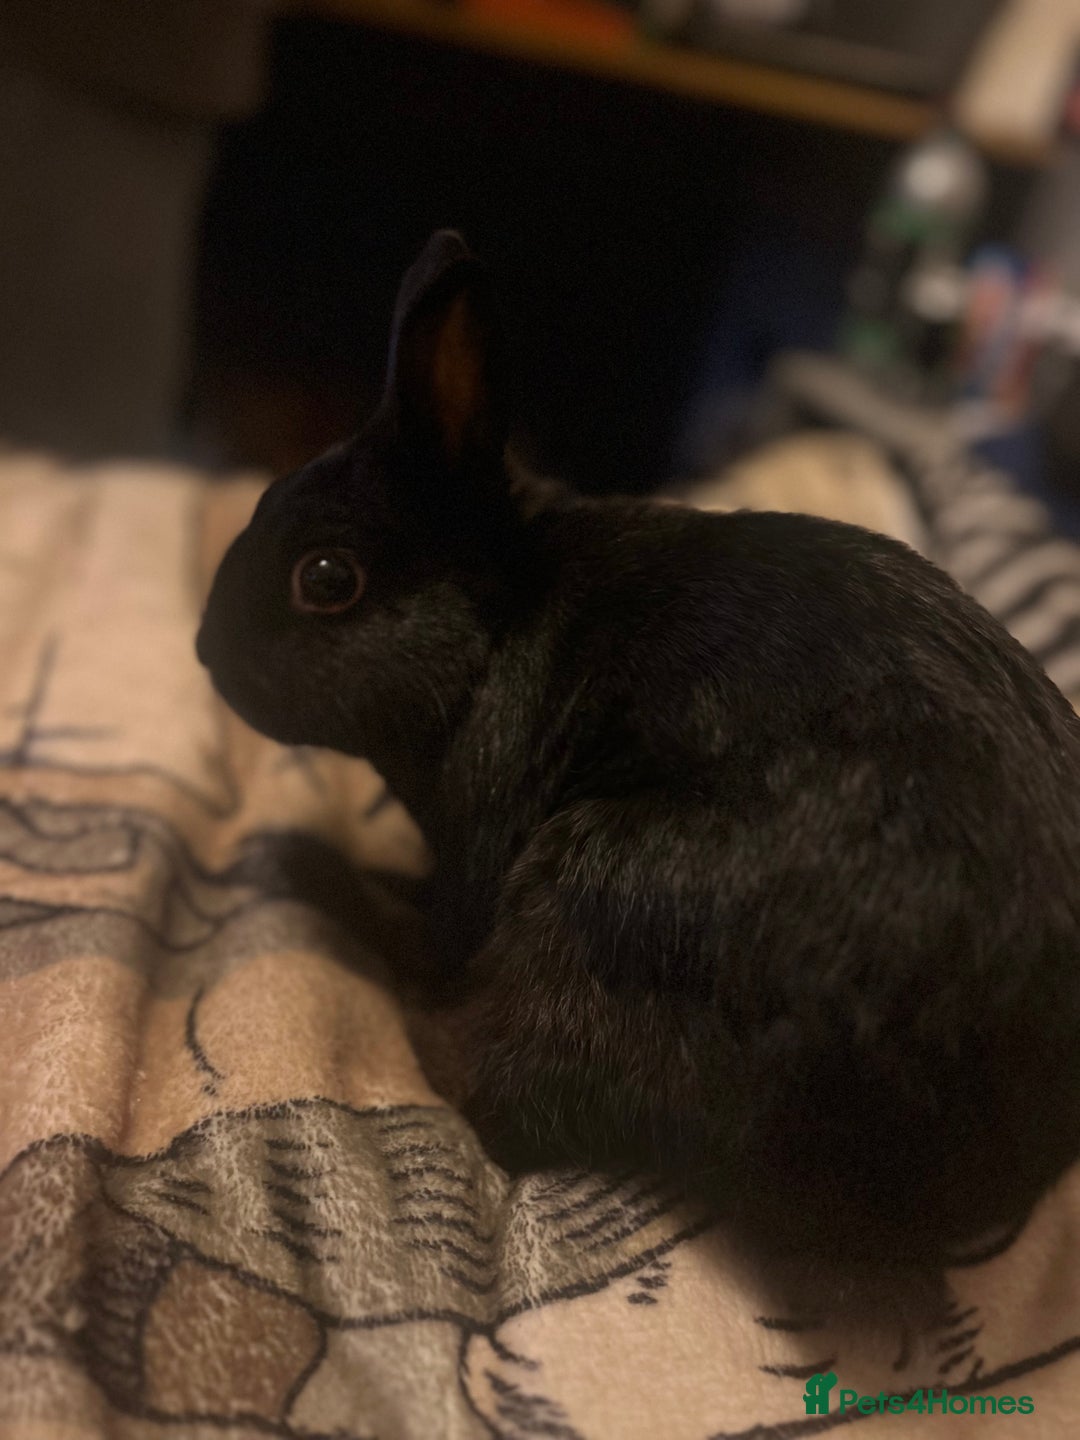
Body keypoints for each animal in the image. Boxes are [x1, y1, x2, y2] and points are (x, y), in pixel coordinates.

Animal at [197, 230, 1080, 1268]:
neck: (496, 624)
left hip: (589, 891)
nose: (205, 648)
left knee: (494, 1087)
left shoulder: (477, 862)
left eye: (327, 579)